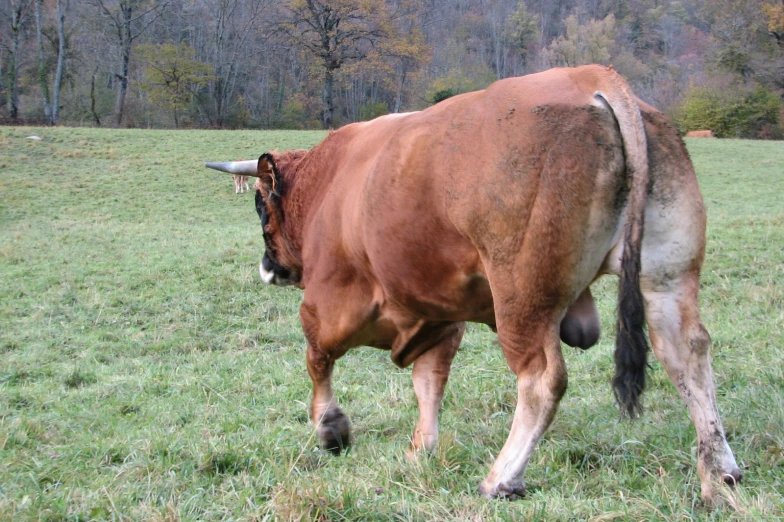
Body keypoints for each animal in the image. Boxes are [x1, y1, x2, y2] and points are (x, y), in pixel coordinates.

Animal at [204, 63, 740, 502]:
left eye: (260, 204)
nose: (267, 267)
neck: (330, 183)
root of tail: (591, 77)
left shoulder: (329, 301)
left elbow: (317, 359)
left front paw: (330, 428)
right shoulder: (435, 314)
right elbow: (428, 383)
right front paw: (420, 449)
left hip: (523, 297)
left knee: (542, 379)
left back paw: (501, 477)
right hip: (667, 277)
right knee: (688, 354)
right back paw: (719, 473)